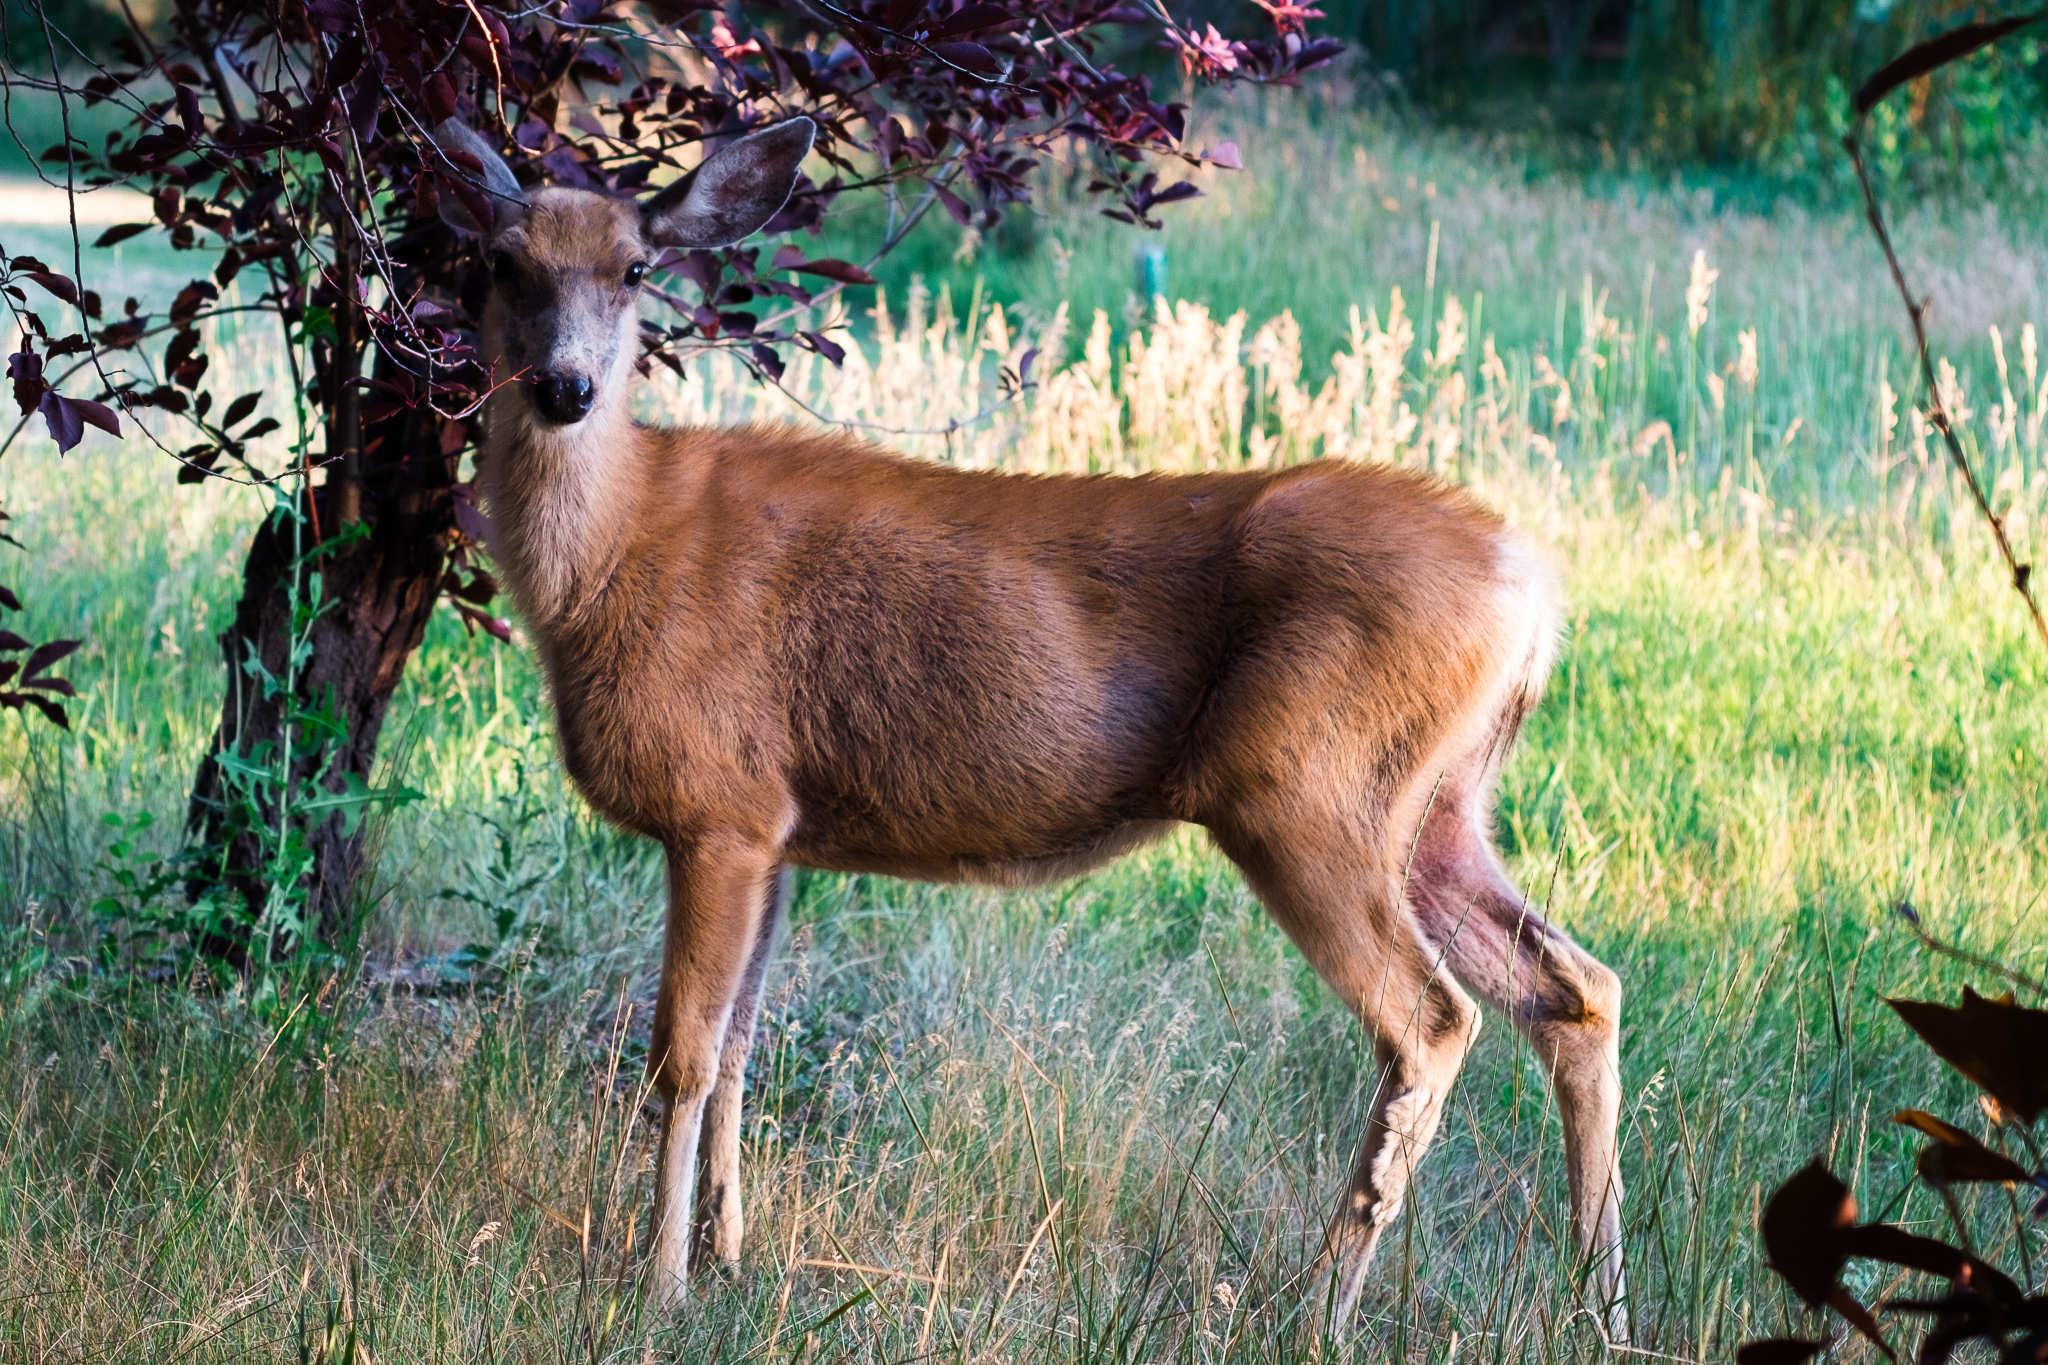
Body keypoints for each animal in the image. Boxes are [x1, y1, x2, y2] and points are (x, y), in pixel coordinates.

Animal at [429, 113, 1628, 1335]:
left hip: (1301, 789)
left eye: (633, 268)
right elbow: (741, 1042)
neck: (612, 557)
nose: (565, 386)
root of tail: (1529, 586)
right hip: (1437, 808)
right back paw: (1601, 1304)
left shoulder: (716, 802)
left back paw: (1319, 1312)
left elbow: (681, 1054)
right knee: (1576, 991)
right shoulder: (774, 828)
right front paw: (727, 1254)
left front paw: (660, 1281)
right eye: (499, 261)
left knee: (1432, 1021)